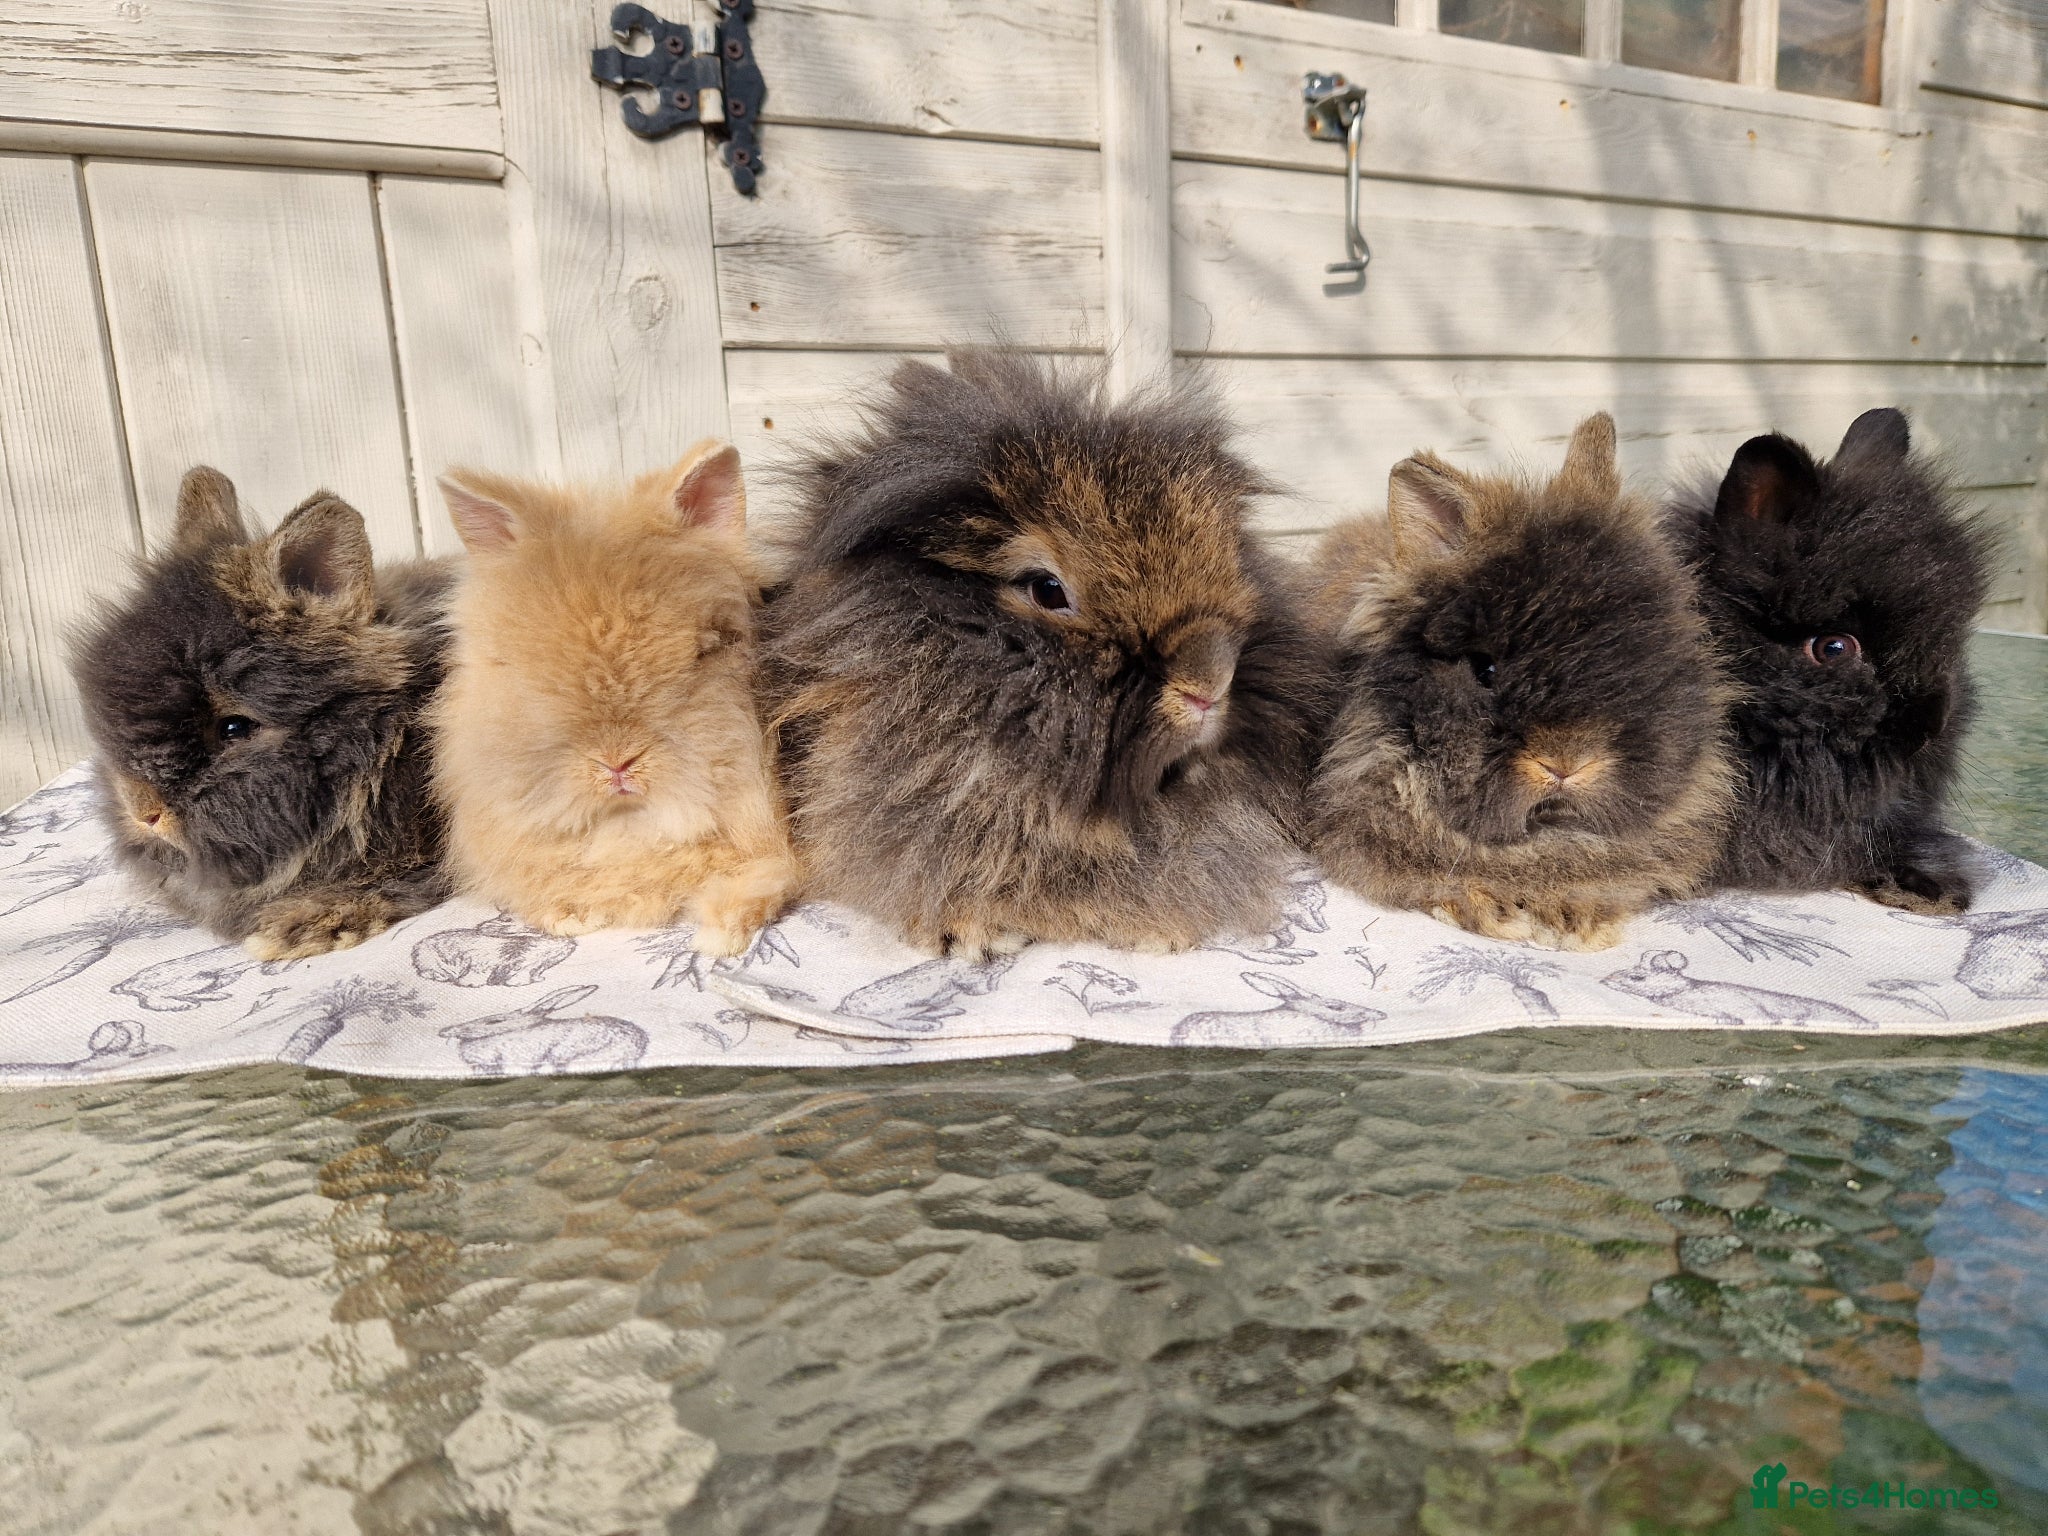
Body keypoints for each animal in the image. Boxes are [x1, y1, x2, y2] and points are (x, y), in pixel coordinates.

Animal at [431, 441, 798, 952]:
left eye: (704, 653)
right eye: (518, 670)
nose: (617, 764)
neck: (631, 832)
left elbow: (766, 876)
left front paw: (722, 935)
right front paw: (568, 918)